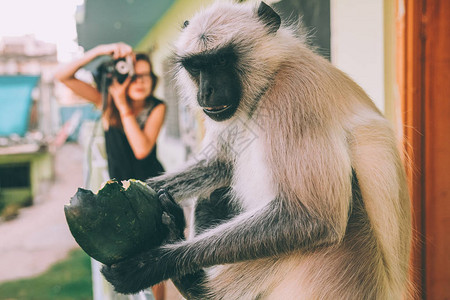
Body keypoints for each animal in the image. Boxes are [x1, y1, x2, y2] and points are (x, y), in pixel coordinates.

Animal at [102, 1, 412, 298]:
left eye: (222, 60)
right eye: (196, 67)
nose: (207, 91)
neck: (269, 80)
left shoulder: (293, 94)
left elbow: (315, 217)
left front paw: (152, 264)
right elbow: (220, 164)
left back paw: (194, 283)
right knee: (214, 193)